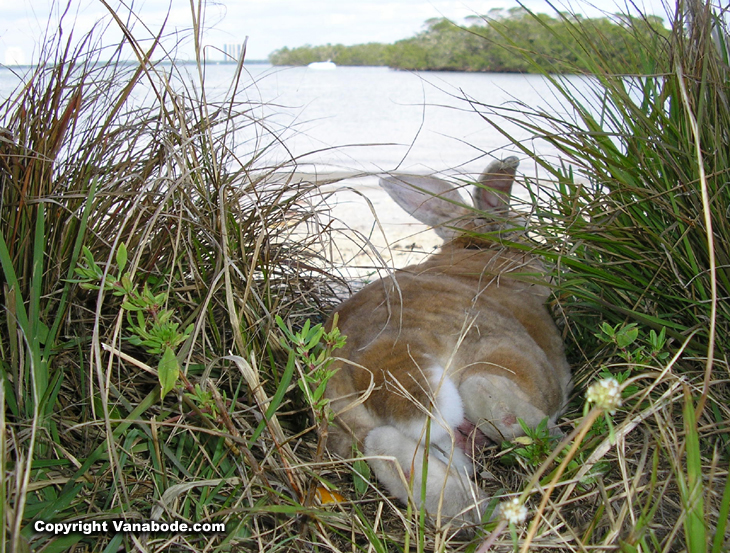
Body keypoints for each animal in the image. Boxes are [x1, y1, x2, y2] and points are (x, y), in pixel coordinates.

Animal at [322, 156, 568, 528]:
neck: (476, 247)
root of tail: (375, 361)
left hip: (365, 434)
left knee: (386, 449)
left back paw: (479, 510)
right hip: (508, 362)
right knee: (485, 393)